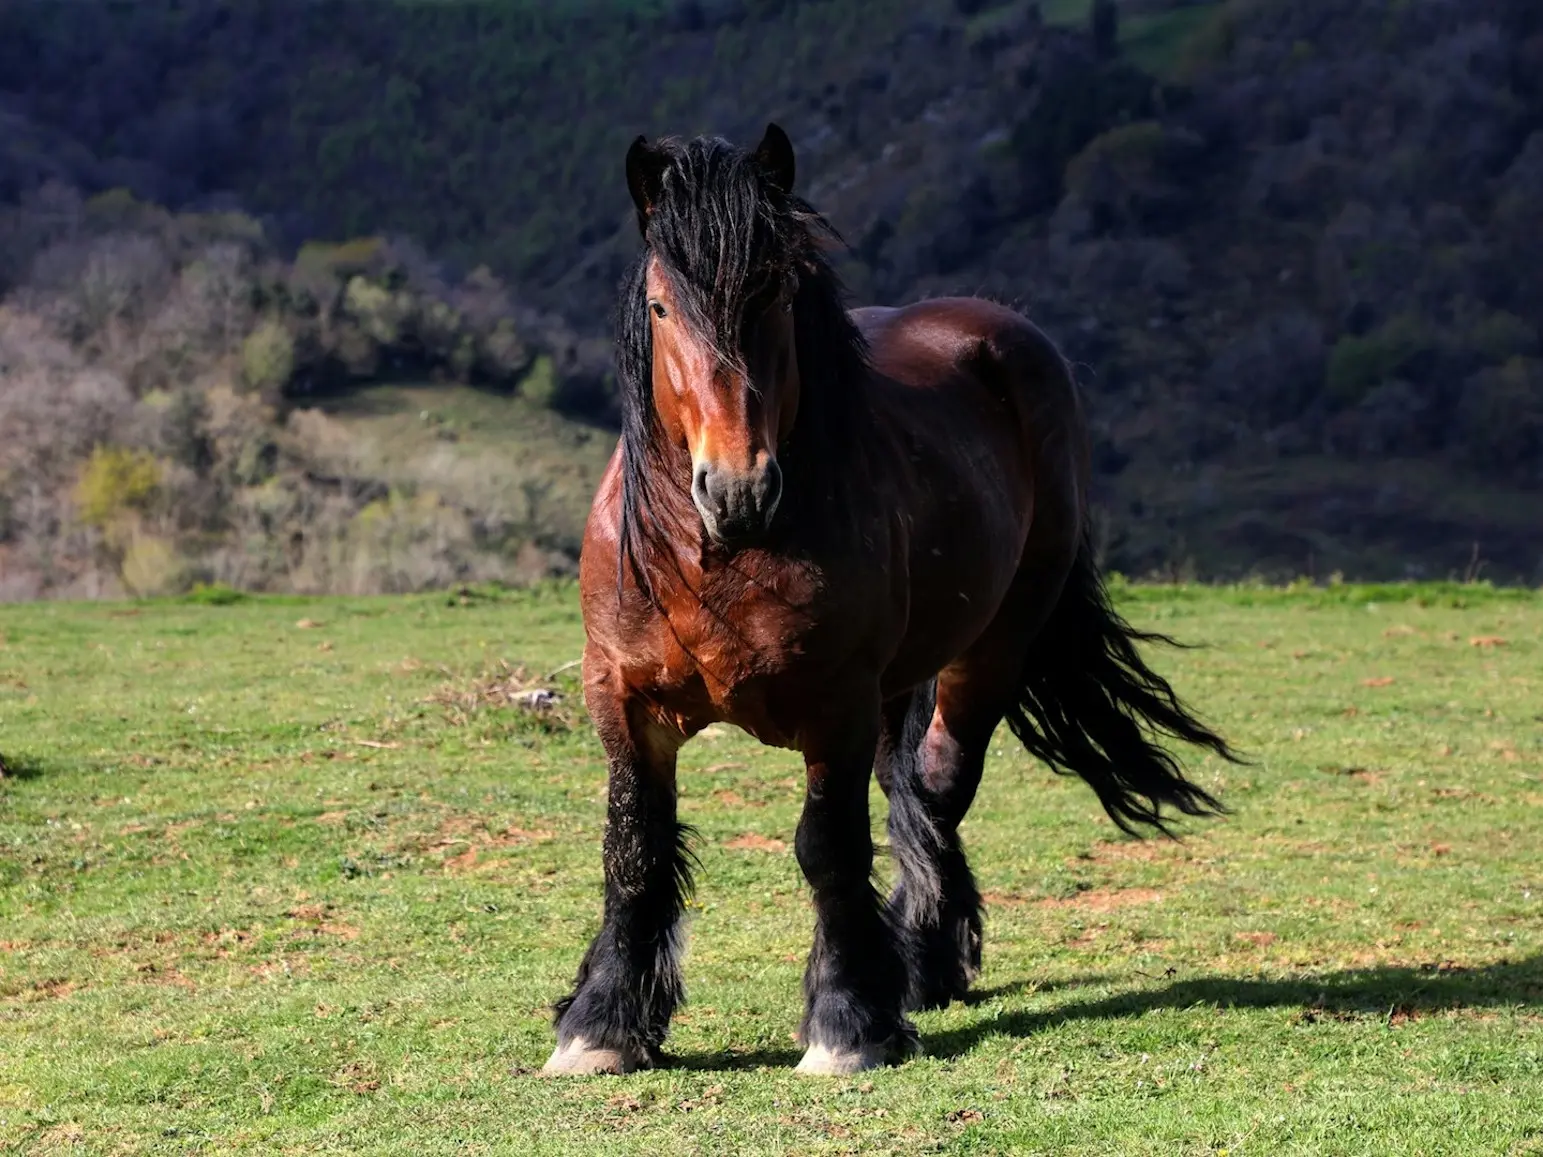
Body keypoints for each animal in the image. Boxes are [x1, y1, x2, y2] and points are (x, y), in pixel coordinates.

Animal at [546, 124, 1240, 1079]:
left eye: (776, 294)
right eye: (658, 308)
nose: (736, 488)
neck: (717, 557)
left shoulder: (834, 705)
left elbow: (828, 848)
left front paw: (848, 1022)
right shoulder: (623, 700)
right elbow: (635, 848)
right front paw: (601, 1023)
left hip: (989, 649)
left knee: (938, 786)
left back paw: (918, 963)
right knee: (906, 786)